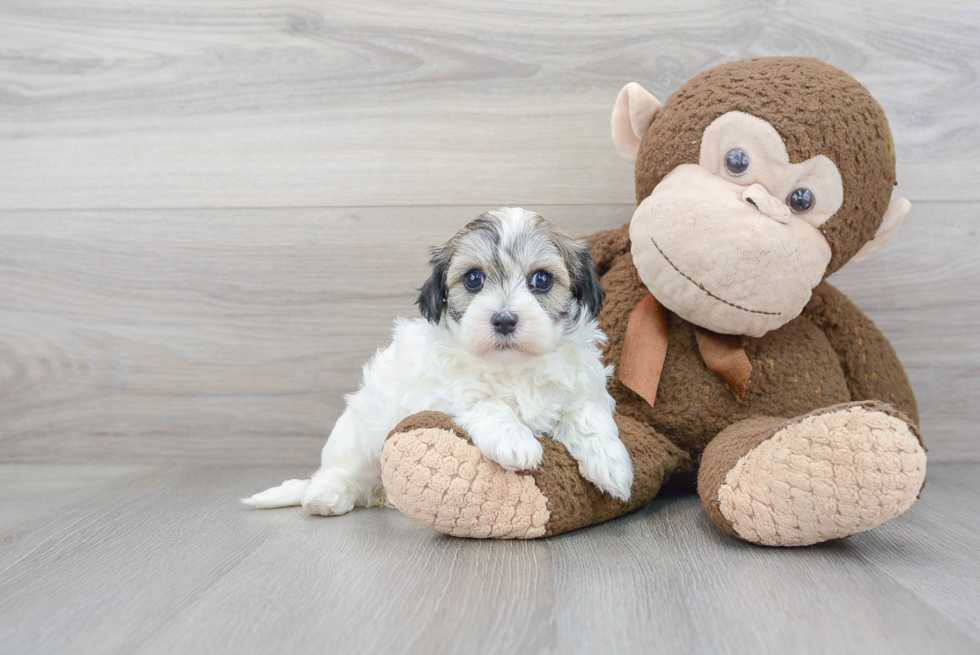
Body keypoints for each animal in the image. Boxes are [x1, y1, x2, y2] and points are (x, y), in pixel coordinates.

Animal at [241, 208, 632, 516]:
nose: (505, 320)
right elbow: (487, 404)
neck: (512, 367)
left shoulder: (581, 386)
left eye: (542, 279)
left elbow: (588, 416)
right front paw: (515, 441)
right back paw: (325, 496)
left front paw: (612, 465)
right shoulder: (441, 394)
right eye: (473, 279)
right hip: (356, 436)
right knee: (337, 470)